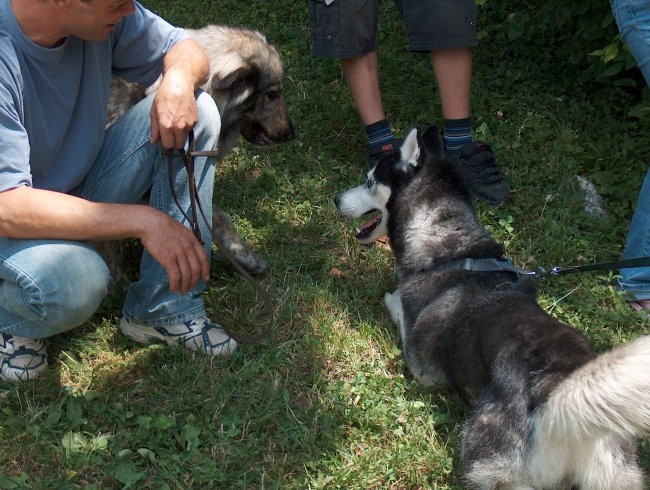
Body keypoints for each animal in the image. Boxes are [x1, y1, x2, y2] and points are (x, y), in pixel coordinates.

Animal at [334, 124, 648, 488]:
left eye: (370, 181)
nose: (335, 199)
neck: (451, 248)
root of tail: (561, 398)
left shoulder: (421, 366)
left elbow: (398, 305)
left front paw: (392, 296)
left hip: (486, 453)